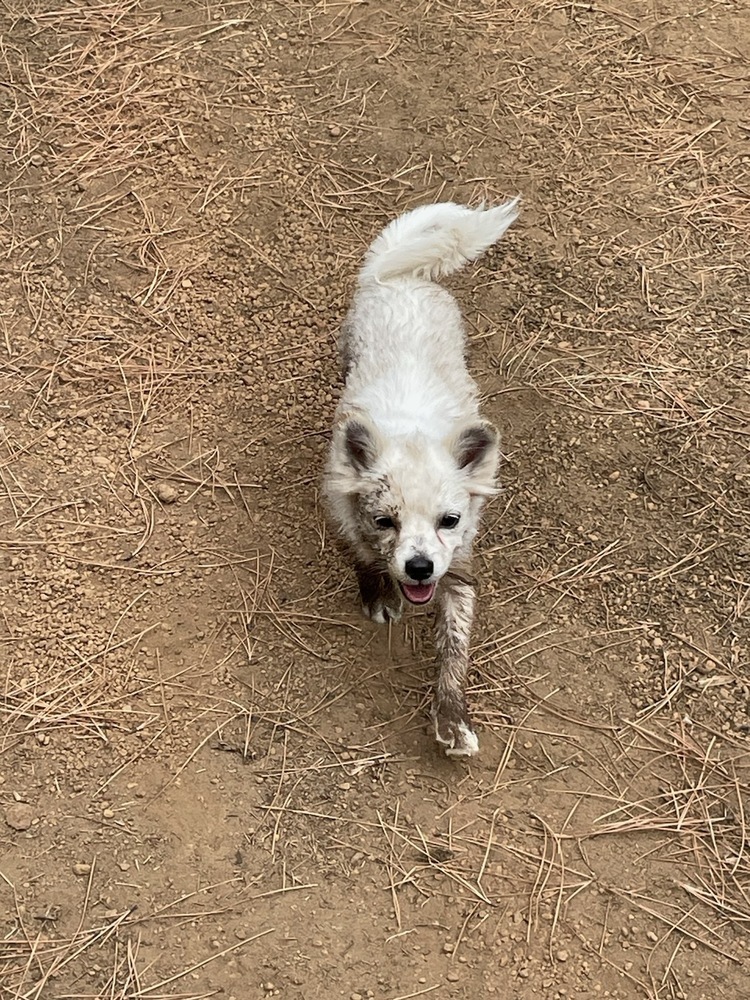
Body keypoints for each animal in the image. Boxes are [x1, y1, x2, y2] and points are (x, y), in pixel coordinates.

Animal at [326, 197, 520, 756]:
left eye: (449, 520)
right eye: (384, 521)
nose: (417, 568)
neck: (412, 429)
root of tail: (400, 274)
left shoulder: (458, 570)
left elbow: (454, 648)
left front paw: (452, 720)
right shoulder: (344, 508)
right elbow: (364, 556)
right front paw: (378, 595)